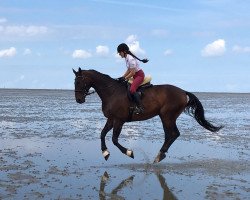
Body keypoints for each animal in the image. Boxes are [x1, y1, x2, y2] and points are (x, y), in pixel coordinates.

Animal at [72, 67, 223, 162]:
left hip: (167, 116)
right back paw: (160, 154)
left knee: (173, 134)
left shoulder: (119, 120)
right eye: (74, 82)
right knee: (170, 135)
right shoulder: (111, 119)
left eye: (79, 81)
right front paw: (105, 152)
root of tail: (182, 91)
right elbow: (102, 134)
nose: (79, 100)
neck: (111, 92)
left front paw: (129, 152)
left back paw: (160, 155)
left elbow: (114, 139)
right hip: (166, 117)